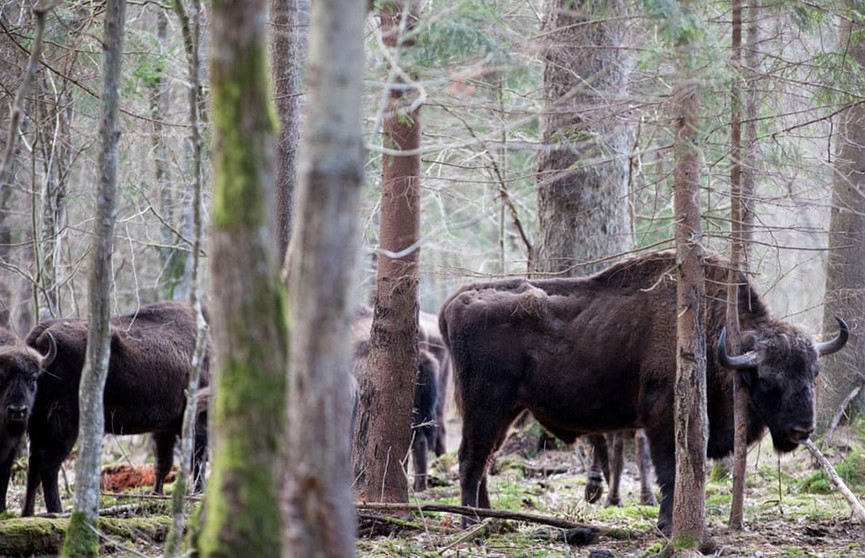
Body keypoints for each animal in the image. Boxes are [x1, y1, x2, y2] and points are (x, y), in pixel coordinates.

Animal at [0, 328, 55, 516]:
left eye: (32, 378)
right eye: (2, 377)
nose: (18, 411)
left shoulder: (12, 445)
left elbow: (4, 473)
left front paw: (2, 510)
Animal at [20, 302, 209, 516]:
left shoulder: (163, 429)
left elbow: (163, 463)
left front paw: (156, 495)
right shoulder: (196, 418)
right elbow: (197, 459)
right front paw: (198, 494)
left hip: (38, 422)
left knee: (34, 464)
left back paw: (27, 513)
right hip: (64, 424)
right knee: (49, 465)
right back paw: (57, 511)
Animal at [442, 252, 848, 536]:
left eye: (814, 373)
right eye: (766, 379)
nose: (802, 429)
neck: (714, 333)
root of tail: (454, 301)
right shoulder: (662, 418)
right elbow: (670, 470)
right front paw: (666, 525)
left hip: (508, 411)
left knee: (484, 459)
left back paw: (491, 520)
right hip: (484, 406)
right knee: (471, 459)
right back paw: (470, 524)